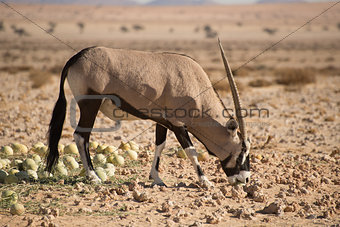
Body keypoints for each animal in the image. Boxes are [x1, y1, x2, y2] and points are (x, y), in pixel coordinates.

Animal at [46, 40, 251, 187]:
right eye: (242, 151)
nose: (245, 179)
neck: (195, 84)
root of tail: (77, 57)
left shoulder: (162, 121)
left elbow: (160, 144)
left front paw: (157, 178)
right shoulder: (178, 123)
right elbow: (191, 150)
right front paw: (205, 181)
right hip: (90, 105)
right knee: (81, 136)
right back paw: (93, 176)